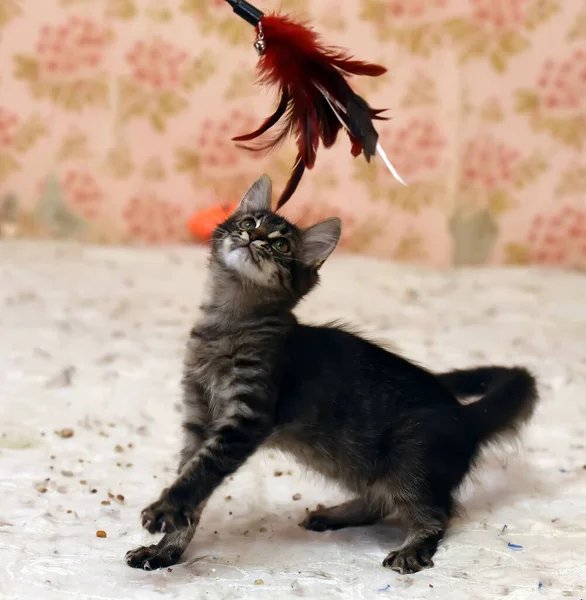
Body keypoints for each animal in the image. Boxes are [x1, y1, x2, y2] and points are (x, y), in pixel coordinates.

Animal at [125, 176, 536, 576]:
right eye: (248, 223)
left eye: (281, 244)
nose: (254, 239)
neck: (230, 320)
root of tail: (465, 418)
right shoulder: (198, 416)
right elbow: (190, 477)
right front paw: (166, 549)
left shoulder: (246, 418)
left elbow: (201, 472)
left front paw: (165, 512)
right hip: (354, 462)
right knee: (380, 501)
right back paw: (336, 514)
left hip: (411, 465)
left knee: (435, 514)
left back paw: (411, 549)